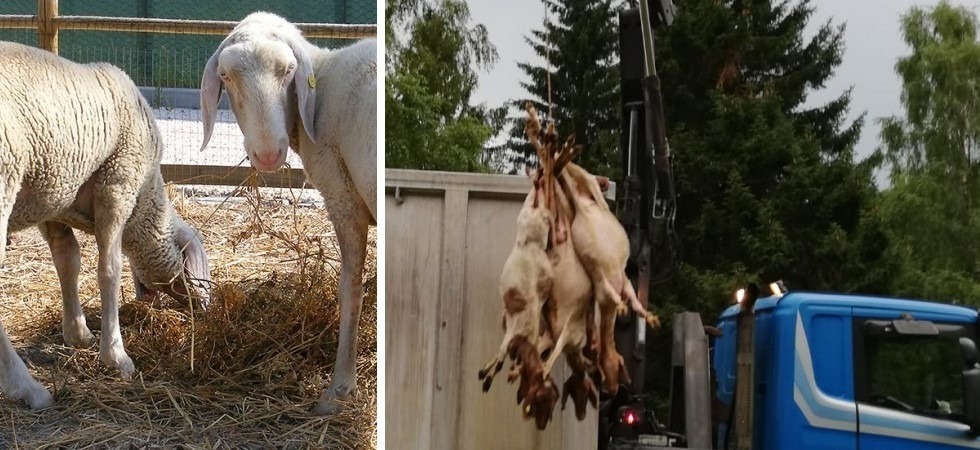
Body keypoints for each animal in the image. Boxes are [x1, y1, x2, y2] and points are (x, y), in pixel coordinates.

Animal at [0, 41, 212, 409]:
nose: (206, 309)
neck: (146, 198)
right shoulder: (117, 184)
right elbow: (109, 270)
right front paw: (116, 356)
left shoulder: (55, 200)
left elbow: (67, 261)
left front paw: (78, 333)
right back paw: (27, 388)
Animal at [199, 12, 376, 415]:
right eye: (226, 76)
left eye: (289, 71)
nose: (267, 153)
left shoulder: (344, 195)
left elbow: (351, 290)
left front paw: (339, 390)